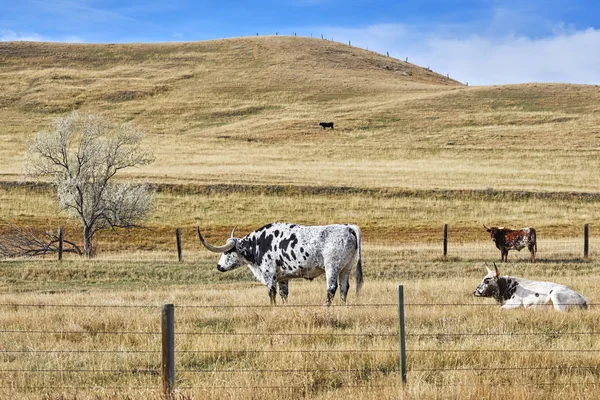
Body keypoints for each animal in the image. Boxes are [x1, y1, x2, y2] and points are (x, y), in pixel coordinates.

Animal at [199, 223, 364, 304]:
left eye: (227, 252)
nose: (219, 266)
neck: (259, 243)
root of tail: (348, 228)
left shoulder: (269, 273)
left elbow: (271, 293)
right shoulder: (283, 278)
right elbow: (284, 294)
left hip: (332, 267)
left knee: (331, 288)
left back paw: (326, 306)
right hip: (346, 268)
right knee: (344, 288)